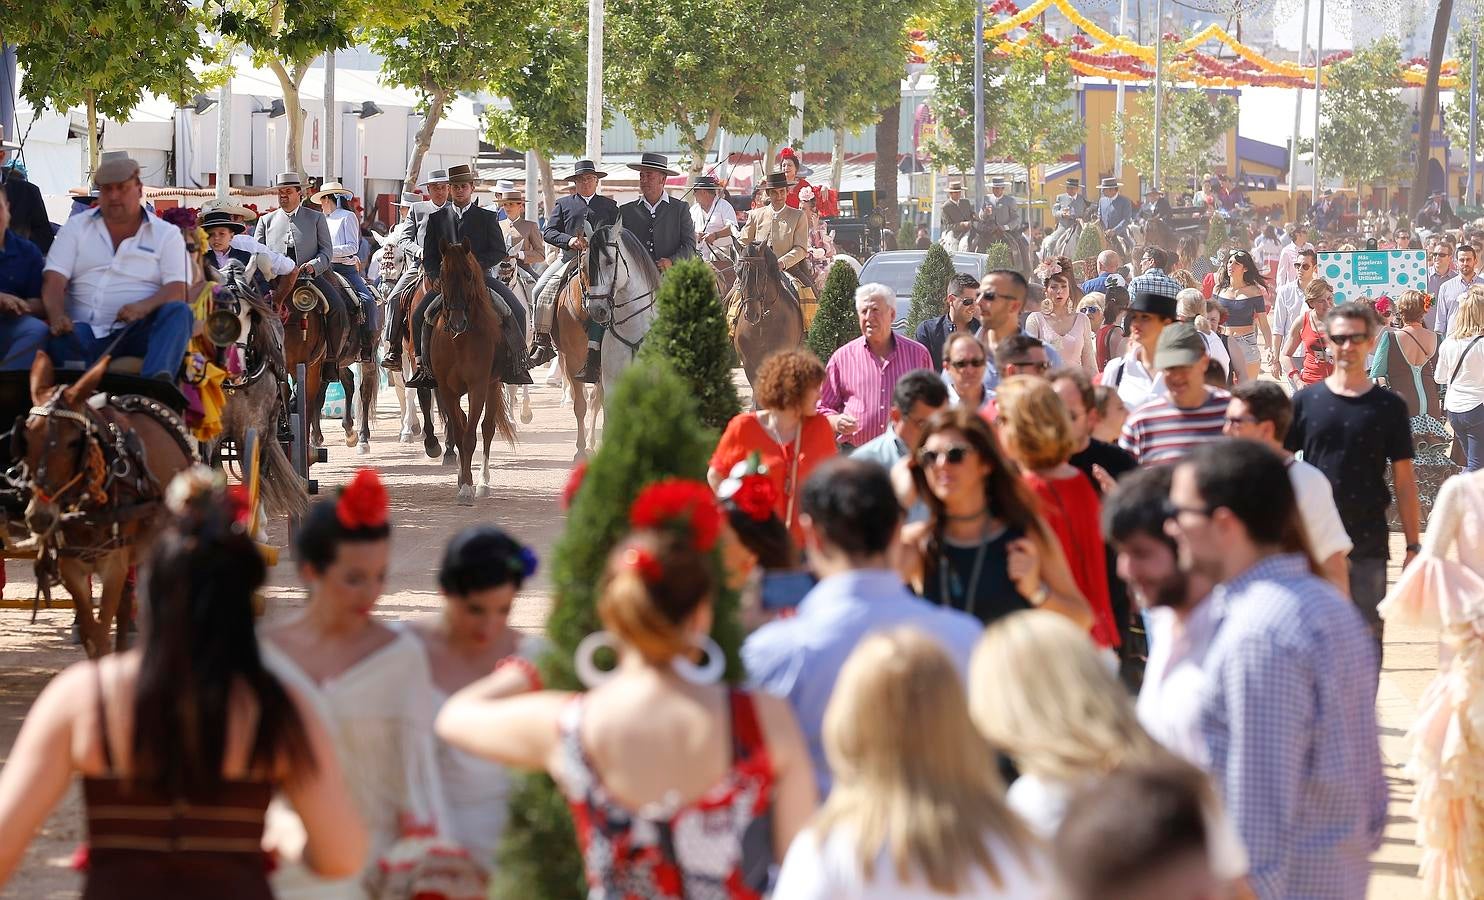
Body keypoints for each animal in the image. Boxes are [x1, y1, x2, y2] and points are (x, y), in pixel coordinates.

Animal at [20, 356, 195, 659]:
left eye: (73, 442)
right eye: (27, 437)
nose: (39, 517)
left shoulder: (114, 564)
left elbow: (102, 634)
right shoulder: (71, 566)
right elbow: (92, 635)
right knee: (126, 606)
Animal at [430, 240, 516, 507]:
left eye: (468, 274)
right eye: (443, 276)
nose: (457, 323)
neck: (459, 341)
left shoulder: (477, 387)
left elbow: (470, 437)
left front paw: (469, 488)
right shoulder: (447, 391)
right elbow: (459, 435)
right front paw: (462, 481)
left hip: (493, 384)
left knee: (487, 429)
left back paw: (483, 482)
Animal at [555, 222, 658, 463]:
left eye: (610, 261)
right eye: (585, 267)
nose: (597, 310)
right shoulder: (603, 377)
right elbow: (588, 406)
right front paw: (584, 450)